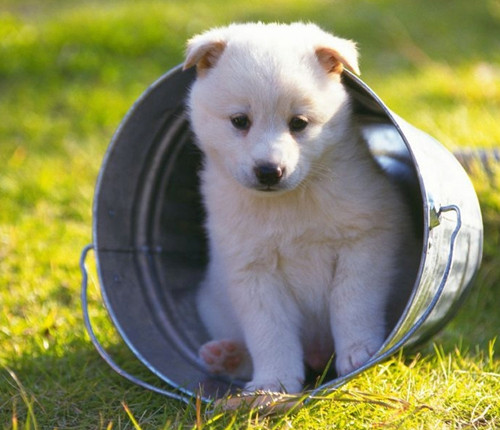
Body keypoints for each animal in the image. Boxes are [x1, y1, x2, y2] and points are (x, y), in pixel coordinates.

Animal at [183, 22, 416, 393]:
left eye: (299, 123)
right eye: (239, 121)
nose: (269, 171)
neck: (289, 204)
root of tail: (318, 354)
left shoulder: (366, 240)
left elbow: (350, 300)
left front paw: (358, 352)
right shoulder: (251, 268)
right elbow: (269, 330)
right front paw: (273, 382)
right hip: (213, 306)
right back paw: (227, 356)